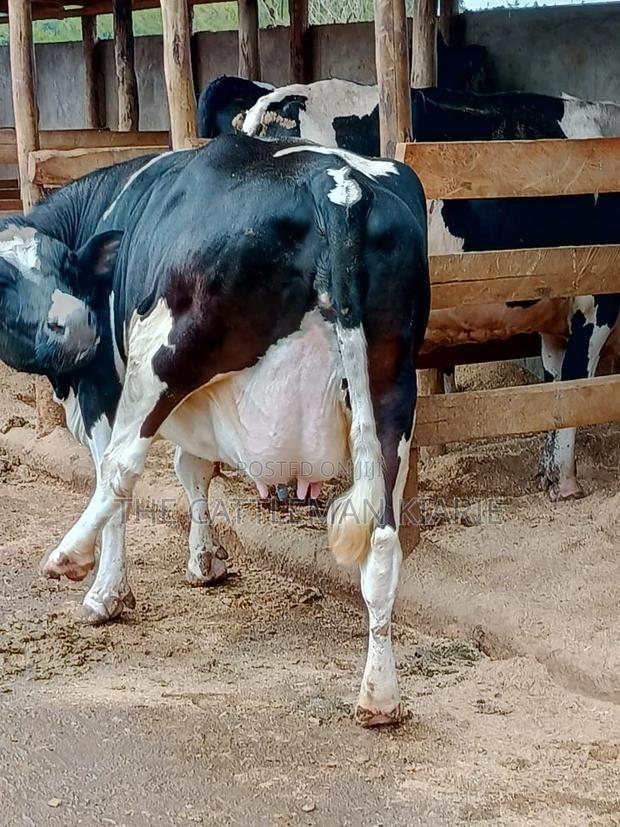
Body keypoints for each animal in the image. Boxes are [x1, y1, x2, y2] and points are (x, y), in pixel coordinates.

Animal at [0, 135, 429, 727]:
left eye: (64, 267)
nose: (79, 328)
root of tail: (338, 185)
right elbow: (195, 470)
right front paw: (205, 560)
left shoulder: (103, 387)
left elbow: (123, 486)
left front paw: (109, 594)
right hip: (393, 387)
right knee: (384, 539)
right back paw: (379, 696)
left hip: (162, 358)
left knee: (120, 469)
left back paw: (69, 556)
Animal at [241, 81, 620, 501]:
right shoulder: (597, 298)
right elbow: (576, 388)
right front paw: (567, 482)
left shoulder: (559, 305)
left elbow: (554, 389)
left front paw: (548, 471)